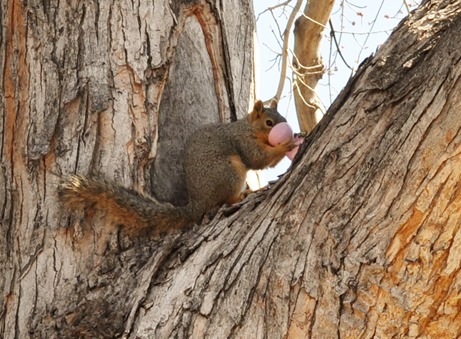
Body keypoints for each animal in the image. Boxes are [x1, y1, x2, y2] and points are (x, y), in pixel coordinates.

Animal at [58, 99, 294, 235]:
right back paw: (245, 194)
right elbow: (258, 159)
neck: (248, 128)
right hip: (229, 172)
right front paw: (287, 144)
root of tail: (197, 204)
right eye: (269, 123)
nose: (286, 128)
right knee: (226, 200)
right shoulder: (242, 141)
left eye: (283, 117)